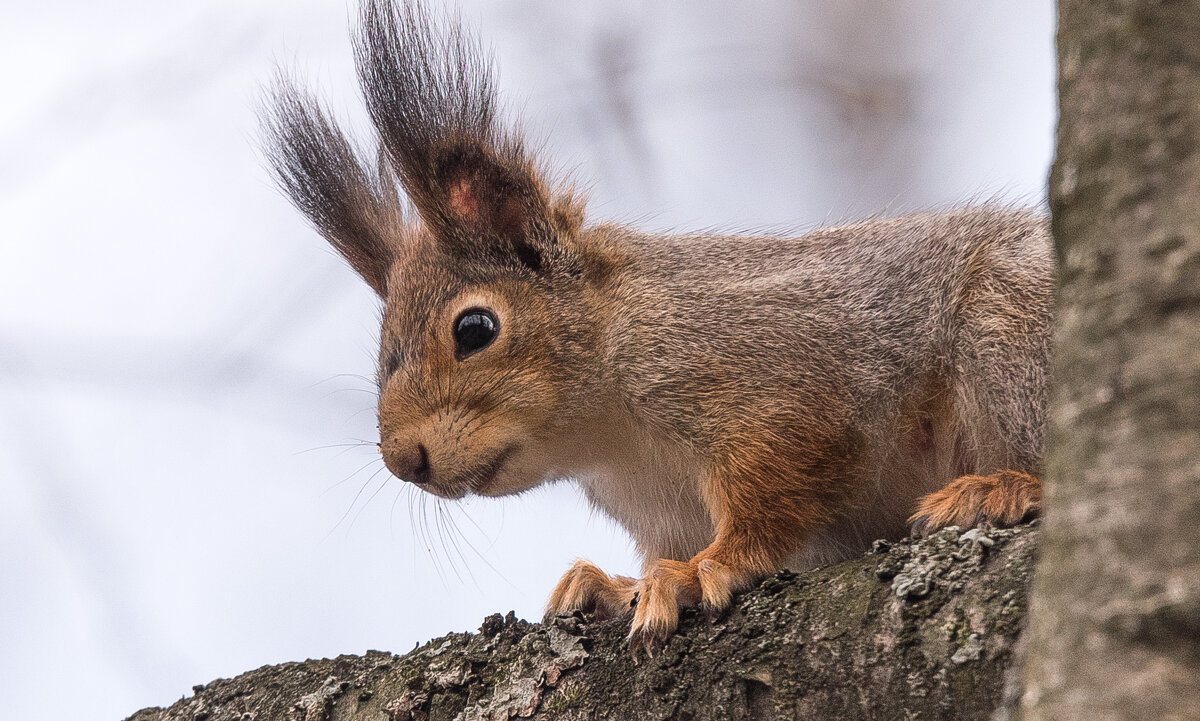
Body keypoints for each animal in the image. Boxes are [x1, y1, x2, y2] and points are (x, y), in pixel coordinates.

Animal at [262, 0, 1051, 652]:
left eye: (474, 329)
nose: (405, 460)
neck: (613, 436)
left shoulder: (781, 382)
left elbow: (778, 493)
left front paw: (705, 569)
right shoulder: (660, 509)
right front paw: (618, 586)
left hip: (1013, 327)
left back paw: (1001, 488)